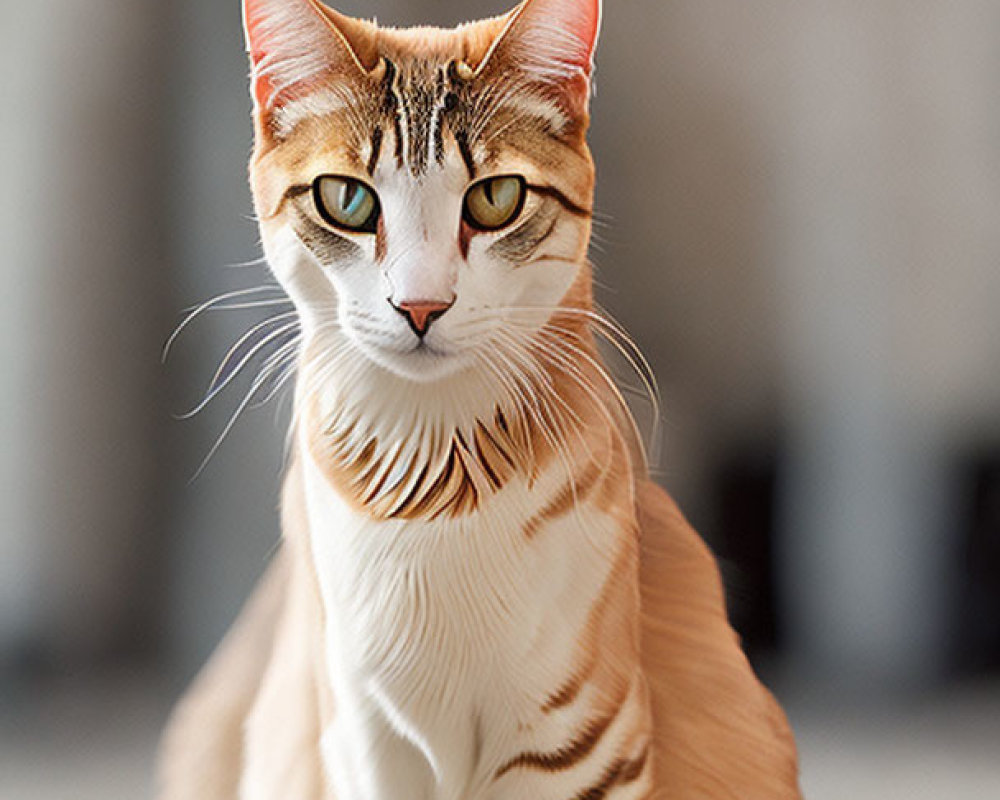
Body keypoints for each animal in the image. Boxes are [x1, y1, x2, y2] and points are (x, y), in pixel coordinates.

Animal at [160, 1, 808, 800]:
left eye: (495, 199)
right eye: (347, 199)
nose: (420, 305)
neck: (433, 493)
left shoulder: (576, 739)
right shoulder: (365, 735)